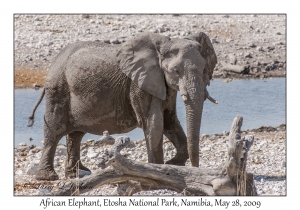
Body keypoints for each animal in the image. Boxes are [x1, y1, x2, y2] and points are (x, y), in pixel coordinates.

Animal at [28, 31, 217, 180]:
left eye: (204, 69)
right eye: (176, 71)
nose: (195, 169)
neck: (164, 44)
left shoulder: (163, 85)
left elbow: (170, 120)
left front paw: (173, 165)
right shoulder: (138, 83)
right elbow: (154, 123)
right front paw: (159, 169)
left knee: (75, 134)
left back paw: (78, 174)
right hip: (58, 88)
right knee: (54, 131)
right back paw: (48, 177)